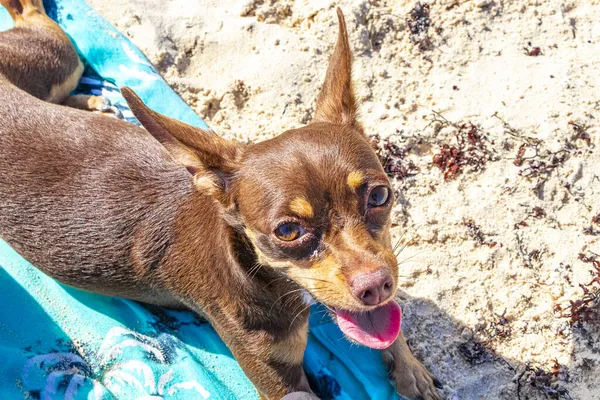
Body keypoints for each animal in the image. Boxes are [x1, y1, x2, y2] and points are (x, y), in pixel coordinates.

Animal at [0, 1, 440, 398]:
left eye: (380, 195)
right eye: (287, 231)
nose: (375, 286)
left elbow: (394, 323)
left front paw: (410, 369)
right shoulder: (282, 381)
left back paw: (93, 103)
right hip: (57, 58)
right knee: (34, 21)